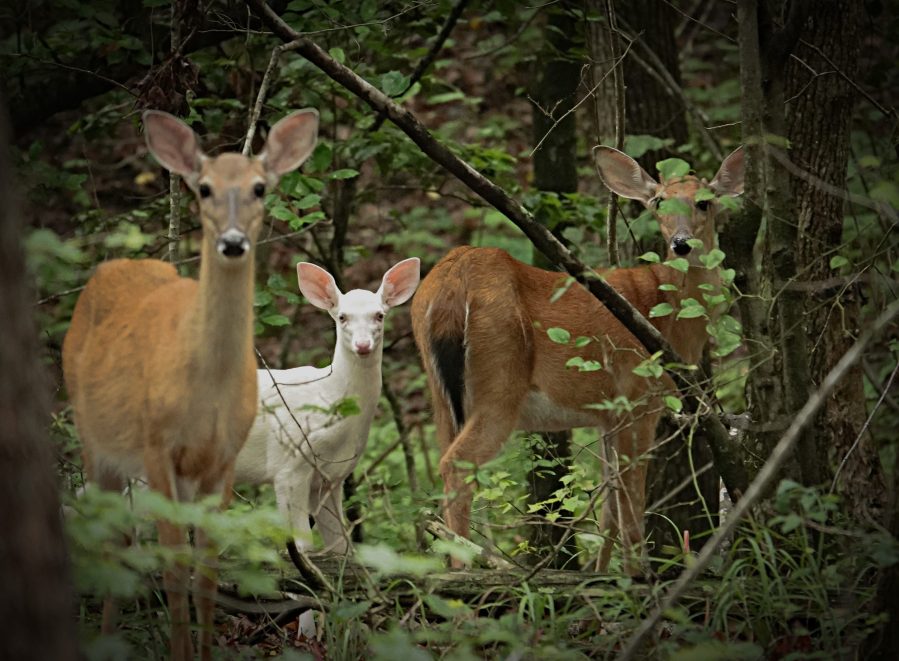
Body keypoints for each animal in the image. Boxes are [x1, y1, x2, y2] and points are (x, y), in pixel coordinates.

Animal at [61, 105, 320, 656]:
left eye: (260, 187)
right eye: (203, 188)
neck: (208, 389)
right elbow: (176, 570)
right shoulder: (158, 447)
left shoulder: (222, 459)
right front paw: (181, 650)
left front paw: (204, 650)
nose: (232, 242)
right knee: (113, 540)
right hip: (95, 439)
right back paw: (106, 638)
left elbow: (207, 572)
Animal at [234, 256, 420, 552]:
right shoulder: (288, 465)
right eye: (342, 316)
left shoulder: (332, 478)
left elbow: (342, 547)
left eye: (379, 315)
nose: (363, 345)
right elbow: (303, 547)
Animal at [412, 144, 740, 572]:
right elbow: (631, 500)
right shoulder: (638, 399)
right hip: (499, 381)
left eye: (704, 201)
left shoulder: (606, 415)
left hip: (440, 391)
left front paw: (602, 574)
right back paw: (464, 569)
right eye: (658, 201)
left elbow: (609, 504)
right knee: (456, 465)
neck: (666, 314)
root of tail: (453, 278)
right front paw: (638, 575)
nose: (681, 243)